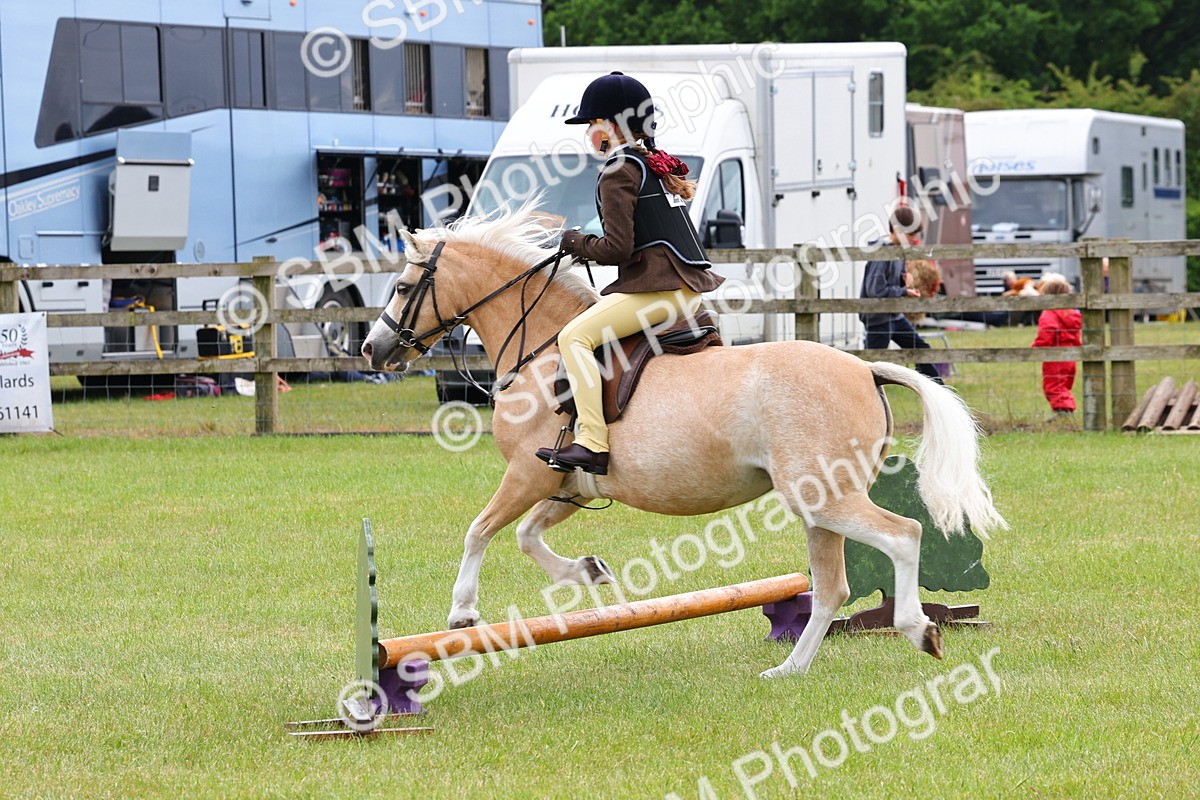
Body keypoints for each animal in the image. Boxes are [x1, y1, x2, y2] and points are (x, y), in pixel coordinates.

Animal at [361, 204, 1007, 678]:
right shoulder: (569, 483)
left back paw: (919, 630)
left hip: (824, 498)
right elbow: (526, 536)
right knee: (830, 588)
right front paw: (589, 572)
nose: (371, 349)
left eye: (403, 286)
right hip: (817, 506)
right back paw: (790, 670)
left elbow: (480, 531)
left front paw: (462, 612)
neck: (540, 349)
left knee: (902, 536)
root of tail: (865, 369)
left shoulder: (528, 472)